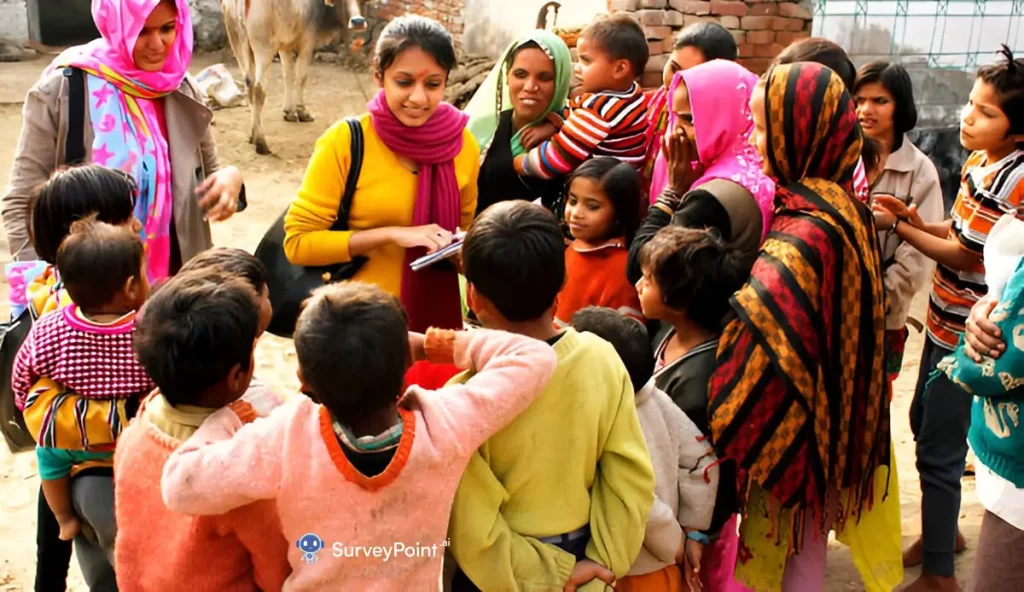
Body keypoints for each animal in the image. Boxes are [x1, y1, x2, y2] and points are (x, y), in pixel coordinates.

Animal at [222, 0, 366, 154]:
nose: (358, 21)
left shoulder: (285, 47)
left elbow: (289, 75)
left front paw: (289, 112)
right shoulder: (307, 44)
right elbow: (301, 77)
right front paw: (302, 112)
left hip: (238, 44)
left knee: (248, 85)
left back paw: (252, 135)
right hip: (264, 48)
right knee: (258, 89)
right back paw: (261, 142)